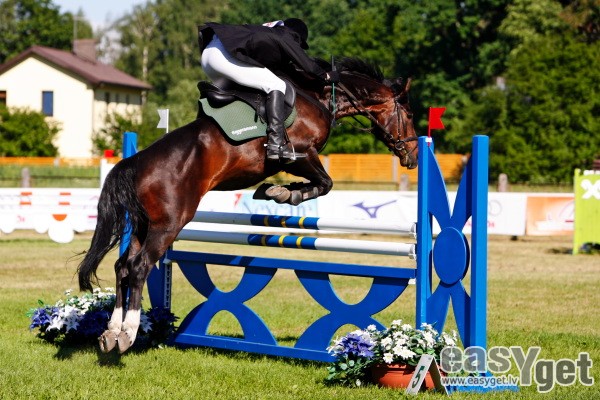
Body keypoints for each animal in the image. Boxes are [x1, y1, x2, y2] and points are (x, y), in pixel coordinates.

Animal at [77, 57, 419, 354]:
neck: (320, 97)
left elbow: (321, 184)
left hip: (142, 225)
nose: (413, 157)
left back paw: (111, 332)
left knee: (122, 267)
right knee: (138, 267)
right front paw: (283, 193)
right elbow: (325, 183)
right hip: (168, 224)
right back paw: (128, 333)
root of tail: (135, 162)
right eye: (410, 115)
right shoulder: (302, 153)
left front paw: (276, 191)